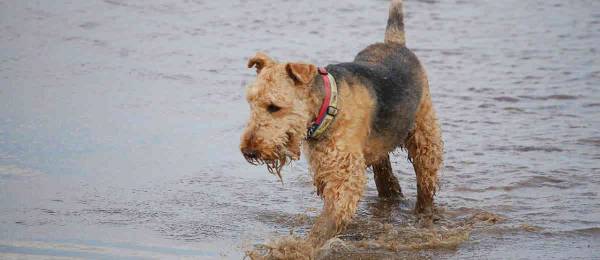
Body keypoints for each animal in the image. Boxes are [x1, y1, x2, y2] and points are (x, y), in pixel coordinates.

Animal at [238, 0, 440, 246]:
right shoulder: (326, 169)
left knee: (425, 184)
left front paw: (301, 248)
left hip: (425, 136)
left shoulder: (344, 173)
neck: (329, 106)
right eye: (251, 103)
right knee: (386, 178)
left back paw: (423, 214)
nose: (249, 151)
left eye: (274, 107)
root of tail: (393, 42)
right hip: (380, 146)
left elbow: (327, 221)